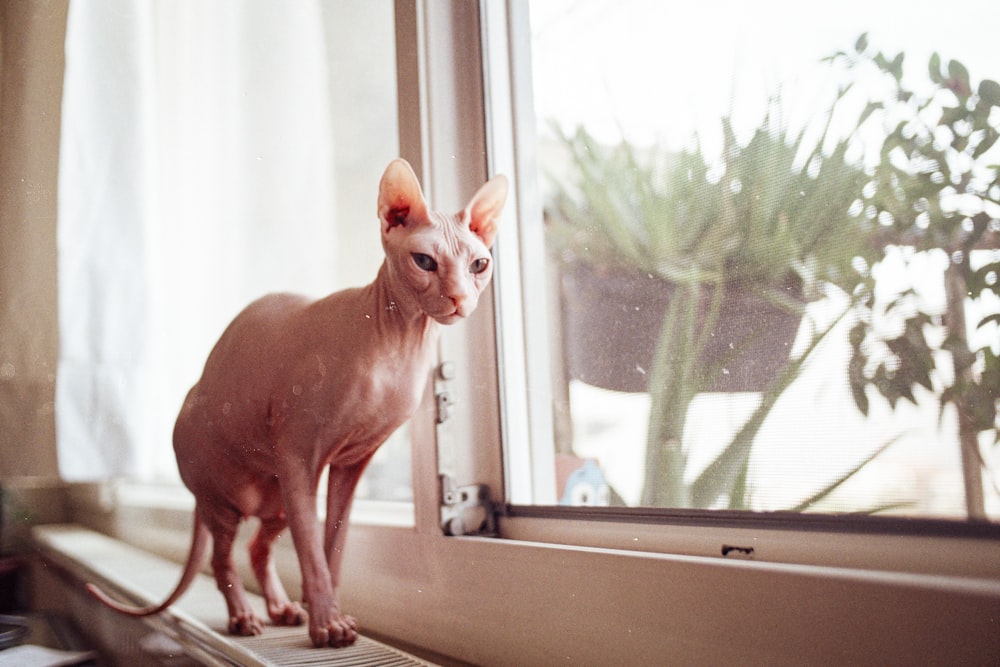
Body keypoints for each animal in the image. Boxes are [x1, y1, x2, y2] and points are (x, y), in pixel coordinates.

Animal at [87, 160, 508, 648]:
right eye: (424, 261)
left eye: (479, 264)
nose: (460, 299)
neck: (401, 344)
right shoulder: (300, 455)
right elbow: (311, 553)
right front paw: (326, 623)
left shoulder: (351, 462)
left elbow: (332, 549)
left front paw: (321, 609)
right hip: (230, 499)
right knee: (222, 558)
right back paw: (243, 616)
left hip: (278, 498)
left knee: (258, 547)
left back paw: (280, 608)